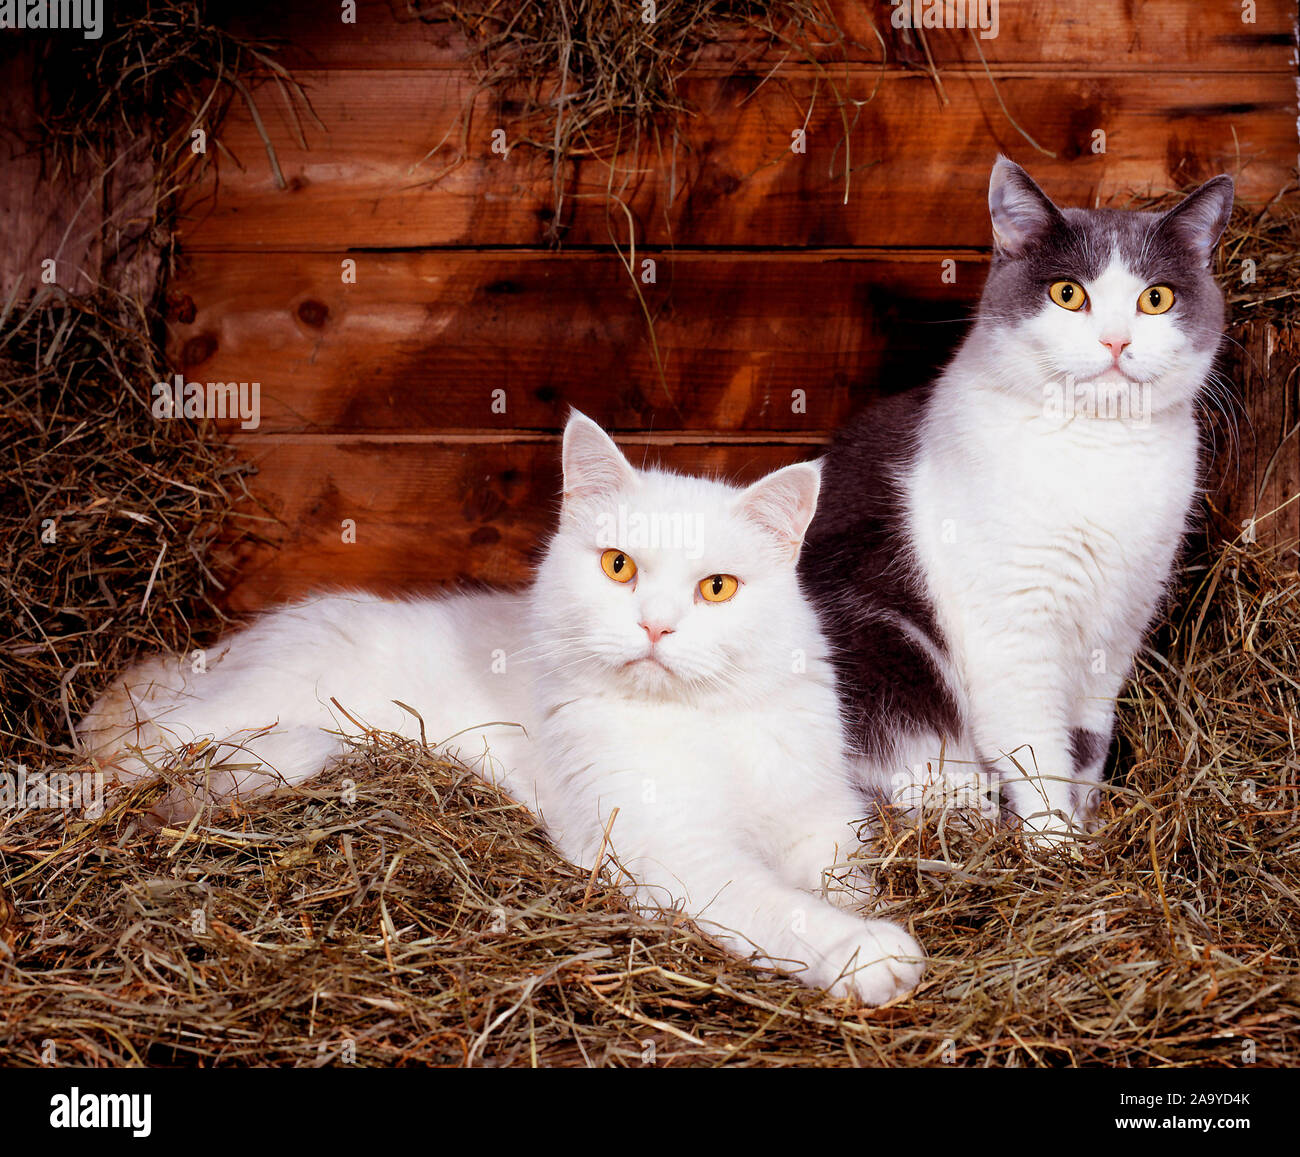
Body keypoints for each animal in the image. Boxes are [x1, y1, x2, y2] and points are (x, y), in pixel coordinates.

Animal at [795, 155, 1232, 837]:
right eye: (1067, 293)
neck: (1100, 449)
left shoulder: (1120, 624)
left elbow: (1086, 742)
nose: (1115, 341)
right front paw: (1057, 846)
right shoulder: (1012, 628)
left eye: (1155, 298)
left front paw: (1090, 824)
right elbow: (1034, 748)